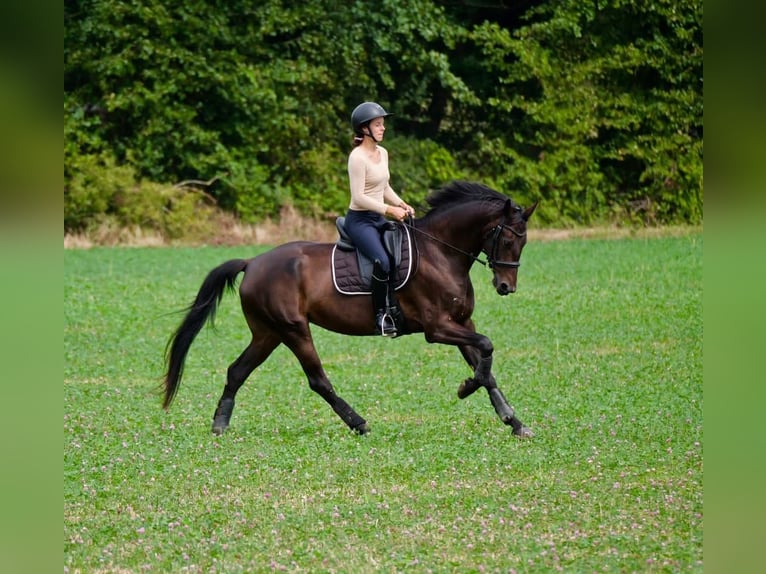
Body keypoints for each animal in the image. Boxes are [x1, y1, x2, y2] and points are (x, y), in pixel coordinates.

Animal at [163, 180, 537, 438]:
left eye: (524, 242)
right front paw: (467, 388)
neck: (441, 254)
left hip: (268, 333)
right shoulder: (438, 328)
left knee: (237, 371)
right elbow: (487, 347)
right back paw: (359, 423)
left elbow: (486, 366)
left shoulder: (462, 322)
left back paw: (220, 424)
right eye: (507, 239)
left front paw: (513, 421)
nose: (506, 287)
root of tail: (253, 263)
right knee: (317, 379)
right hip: (293, 329)